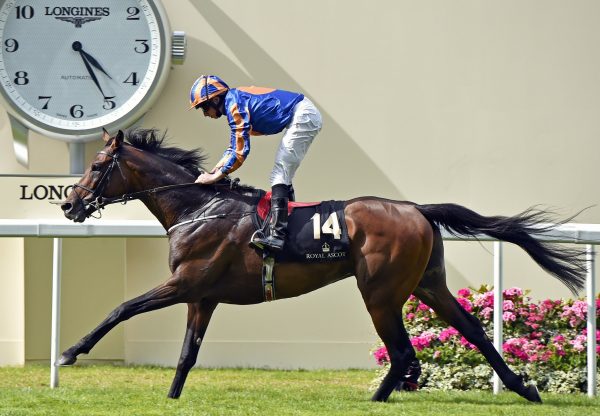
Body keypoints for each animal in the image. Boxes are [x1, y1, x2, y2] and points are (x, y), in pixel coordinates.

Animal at [58, 129, 584, 404]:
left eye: (97, 165)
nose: (69, 205)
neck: (197, 207)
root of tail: (417, 208)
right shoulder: (203, 296)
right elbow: (187, 354)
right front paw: (171, 399)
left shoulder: (185, 282)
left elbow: (122, 308)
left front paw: (70, 352)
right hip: (426, 284)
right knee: (470, 329)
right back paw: (523, 387)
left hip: (380, 292)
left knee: (401, 351)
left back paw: (379, 399)